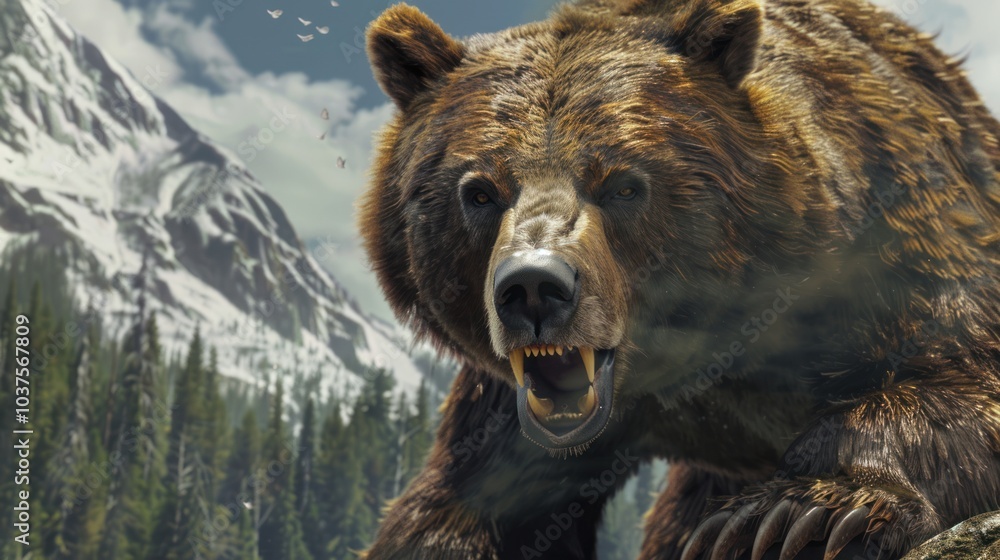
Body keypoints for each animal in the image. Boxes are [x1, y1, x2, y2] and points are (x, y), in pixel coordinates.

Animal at [358, 0, 1000, 558]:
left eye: (623, 184)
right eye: (479, 190)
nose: (534, 289)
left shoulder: (896, 248)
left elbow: (961, 380)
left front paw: (793, 517)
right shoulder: (509, 417)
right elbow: (469, 502)